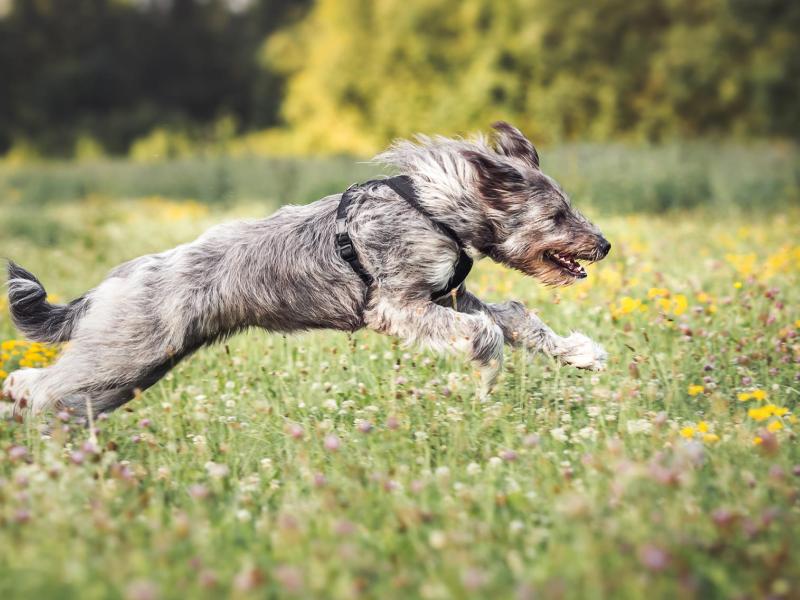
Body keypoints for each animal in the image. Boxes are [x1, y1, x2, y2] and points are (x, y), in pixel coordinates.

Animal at [3, 120, 608, 422]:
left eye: (568, 207)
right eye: (556, 216)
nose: (602, 245)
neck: (436, 207)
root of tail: (111, 283)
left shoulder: (446, 295)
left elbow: (514, 316)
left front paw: (579, 353)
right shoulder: (399, 304)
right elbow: (486, 333)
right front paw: (486, 377)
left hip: (123, 376)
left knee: (44, 387)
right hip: (124, 355)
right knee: (42, 385)